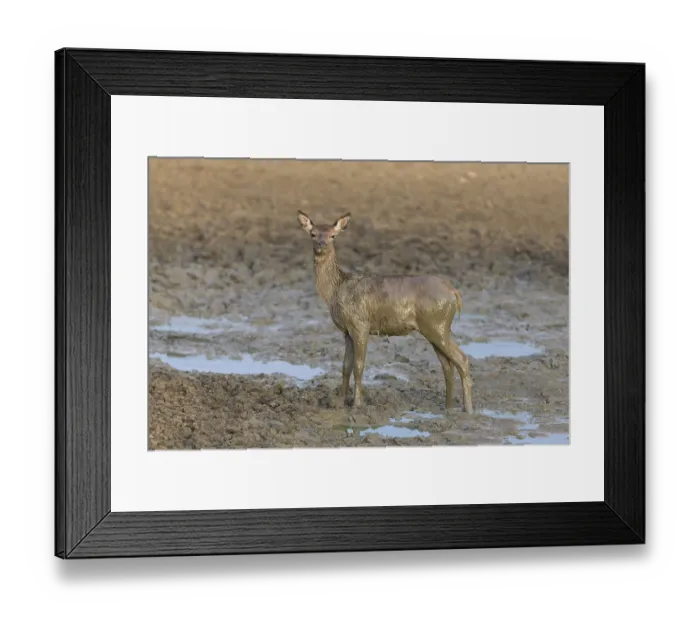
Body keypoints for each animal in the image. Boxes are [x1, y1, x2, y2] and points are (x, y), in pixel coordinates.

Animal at [297, 210, 474, 415]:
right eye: (313, 234)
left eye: (333, 235)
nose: (321, 244)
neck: (335, 290)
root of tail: (454, 293)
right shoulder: (347, 331)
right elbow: (345, 366)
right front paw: (340, 402)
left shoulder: (360, 324)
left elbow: (359, 366)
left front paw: (357, 404)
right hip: (435, 327)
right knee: (447, 364)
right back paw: (448, 408)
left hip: (437, 324)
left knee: (461, 359)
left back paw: (468, 410)